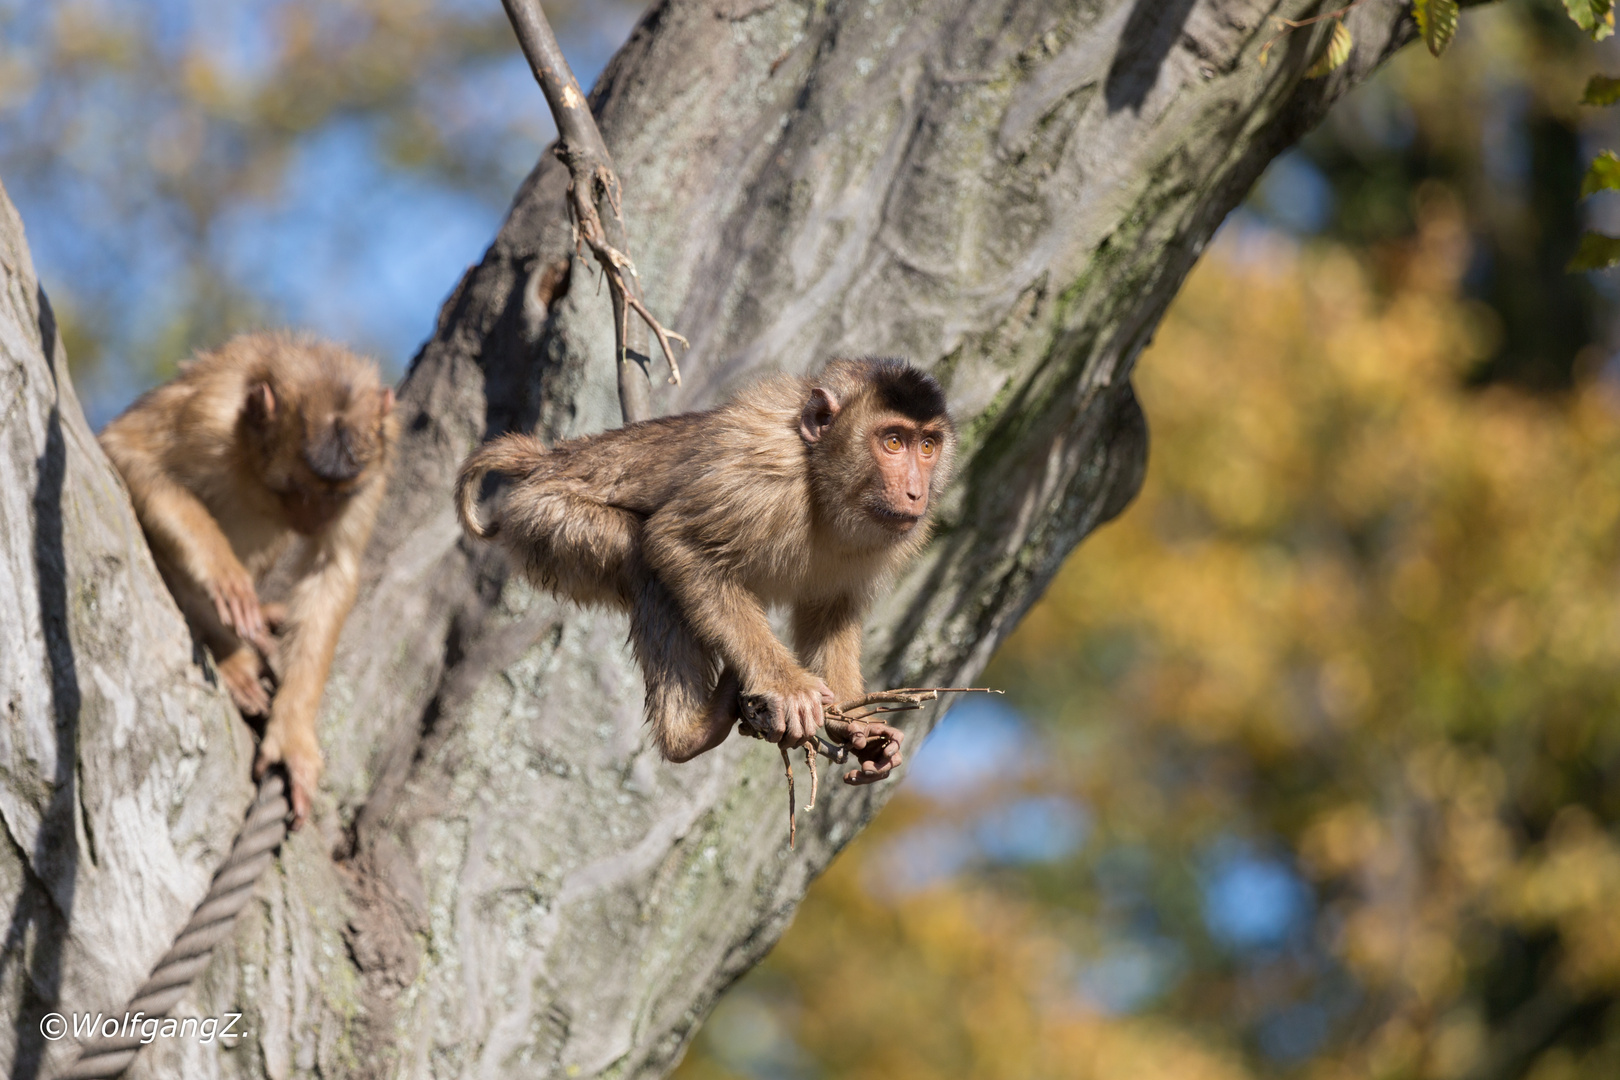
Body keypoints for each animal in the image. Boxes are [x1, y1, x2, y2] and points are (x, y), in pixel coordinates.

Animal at [100, 335, 395, 829]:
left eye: (337, 496)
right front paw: (223, 575)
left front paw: (292, 735)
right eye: (298, 489)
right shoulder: (211, 413)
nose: (316, 518)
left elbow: (332, 568)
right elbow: (127, 451)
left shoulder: (378, 462)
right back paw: (230, 653)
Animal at [456, 361, 952, 786]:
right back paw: (689, 734)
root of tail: (550, 460)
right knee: (642, 558)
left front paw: (858, 729)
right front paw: (788, 688)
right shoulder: (764, 473)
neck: (821, 476)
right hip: (544, 518)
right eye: (892, 442)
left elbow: (830, 611)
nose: (915, 491)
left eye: (927, 446)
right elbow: (679, 543)